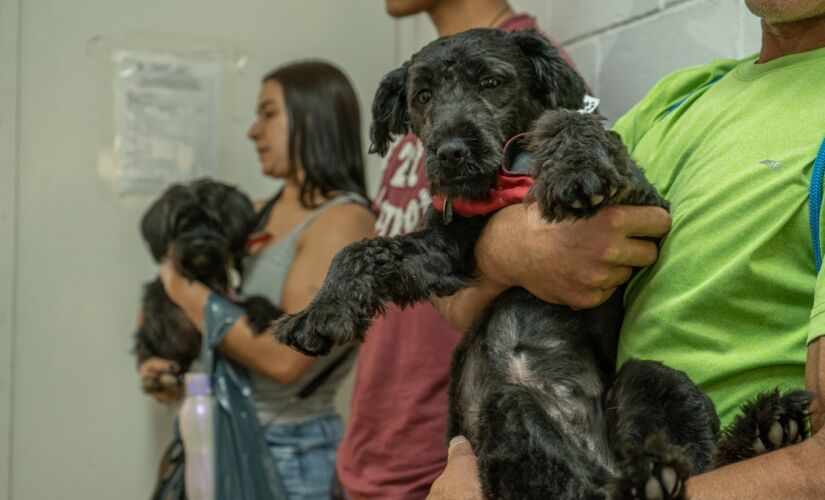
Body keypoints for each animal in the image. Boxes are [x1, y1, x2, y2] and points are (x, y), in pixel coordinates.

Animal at [133, 178, 280, 392]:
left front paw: (263, 311)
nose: (198, 244)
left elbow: (247, 302)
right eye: (182, 225)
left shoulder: (223, 296)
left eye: (212, 222)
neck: (204, 274)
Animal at [274, 29, 808, 498]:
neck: (506, 180)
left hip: (653, 382)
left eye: (491, 82)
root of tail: (602, 457)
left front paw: (574, 167)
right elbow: (359, 250)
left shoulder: (645, 204)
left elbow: (568, 122)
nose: (449, 153)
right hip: (512, 412)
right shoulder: (444, 251)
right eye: (422, 96)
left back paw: (761, 431)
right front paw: (319, 312)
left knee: (688, 464)